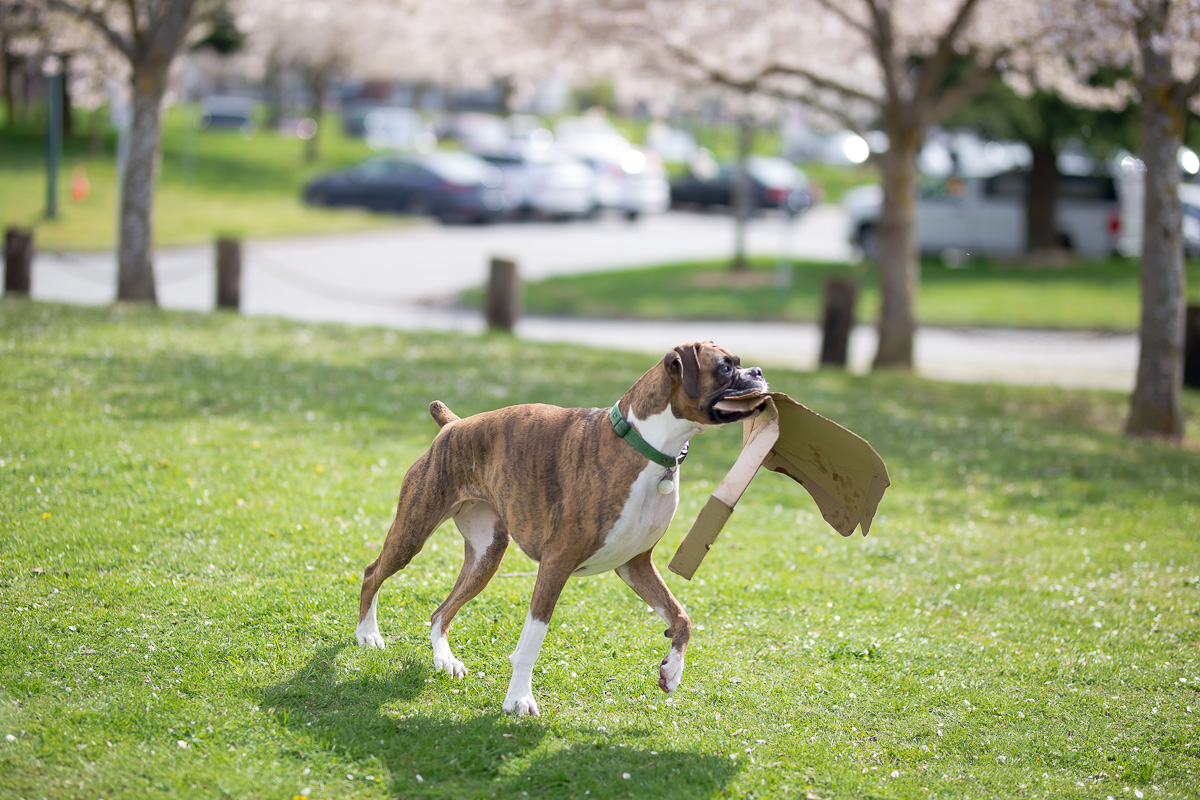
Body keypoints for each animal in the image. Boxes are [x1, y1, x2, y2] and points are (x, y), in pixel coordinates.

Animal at [355, 340, 768, 714]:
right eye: (726, 368)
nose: (759, 372)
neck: (645, 445)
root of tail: (454, 425)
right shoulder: (556, 563)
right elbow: (531, 641)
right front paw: (518, 699)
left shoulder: (635, 566)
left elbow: (682, 618)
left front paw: (673, 671)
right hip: (413, 532)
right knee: (373, 573)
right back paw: (368, 634)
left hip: (486, 555)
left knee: (440, 613)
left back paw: (444, 660)